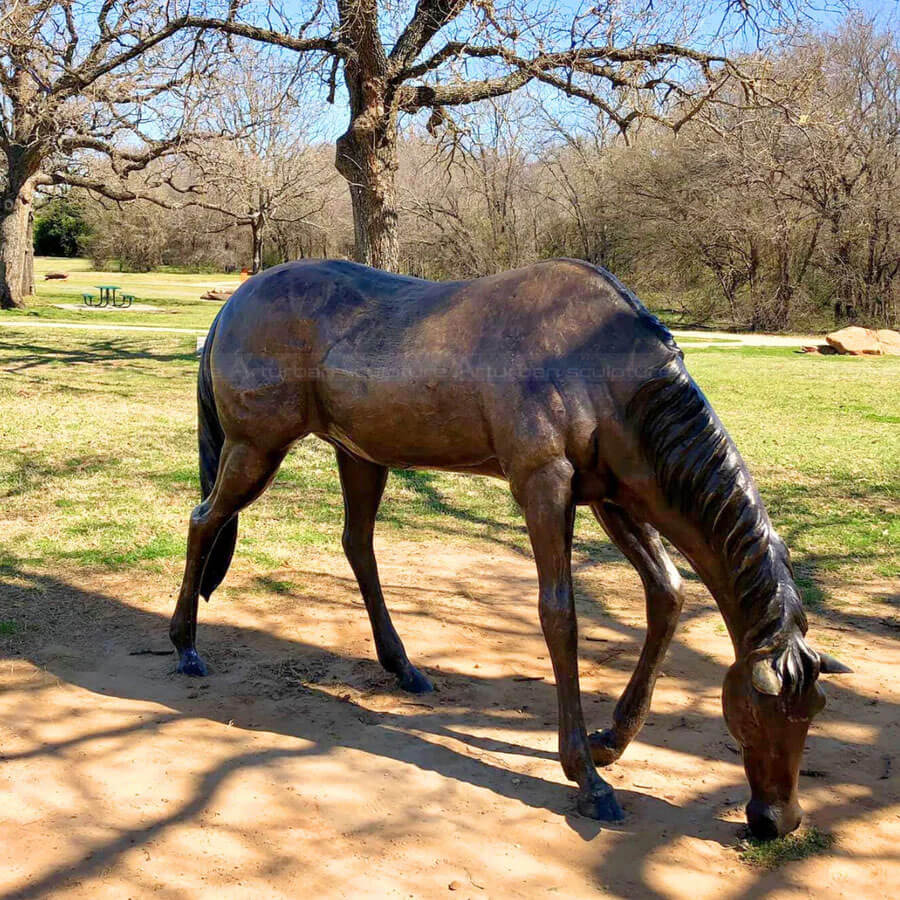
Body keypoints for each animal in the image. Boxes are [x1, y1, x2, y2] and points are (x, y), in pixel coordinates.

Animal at [171, 258, 852, 836]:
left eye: (814, 711)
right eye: (759, 712)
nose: (779, 821)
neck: (599, 361)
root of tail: (235, 302)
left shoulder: (613, 497)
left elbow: (668, 594)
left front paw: (612, 740)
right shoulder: (544, 485)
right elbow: (560, 616)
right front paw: (588, 779)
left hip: (358, 456)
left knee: (357, 545)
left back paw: (404, 668)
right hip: (256, 450)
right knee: (204, 521)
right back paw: (186, 648)